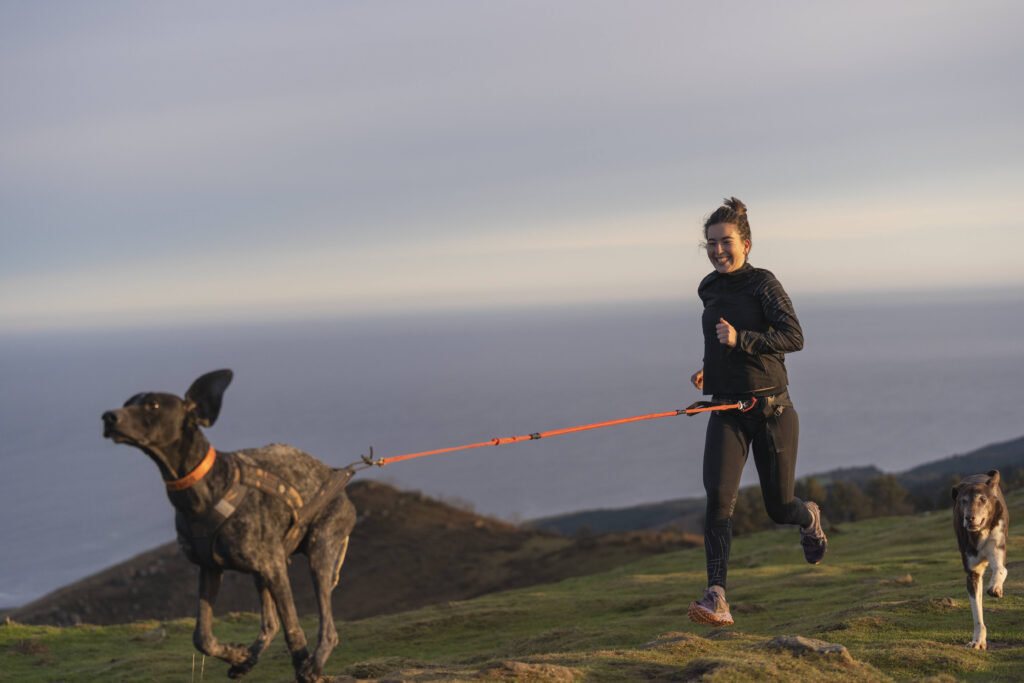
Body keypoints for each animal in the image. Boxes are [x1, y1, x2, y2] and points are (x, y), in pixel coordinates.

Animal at [100, 370, 356, 679]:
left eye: (154, 405)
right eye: (128, 402)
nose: (108, 417)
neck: (202, 489)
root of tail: (341, 484)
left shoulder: (275, 569)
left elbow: (294, 631)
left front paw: (303, 666)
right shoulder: (210, 568)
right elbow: (202, 637)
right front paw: (237, 654)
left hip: (318, 552)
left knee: (327, 629)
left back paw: (315, 663)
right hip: (263, 572)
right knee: (270, 624)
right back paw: (248, 658)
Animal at [950, 471, 1007, 651]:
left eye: (982, 499)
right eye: (963, 501)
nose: (969, 518)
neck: (979, 534)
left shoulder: (997, 547)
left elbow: (1001, 569)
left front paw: (995, 588)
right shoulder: (972, 573)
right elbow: (977, 612)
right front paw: (978, 641)